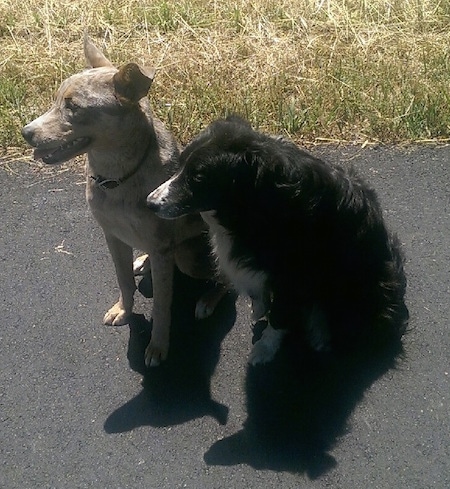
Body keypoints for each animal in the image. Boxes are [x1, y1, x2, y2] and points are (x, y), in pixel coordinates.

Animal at [22, 38, 223, 364]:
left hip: (188, 256)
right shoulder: (113, 237)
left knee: (226, 278)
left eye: (73, 107)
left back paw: (208, 299)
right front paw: (123, 311)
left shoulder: (162, 248)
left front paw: (158, 346)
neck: (116, 179)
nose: (25, 132)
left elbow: (162, 307)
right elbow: (124, 281)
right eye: (56, 100)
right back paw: (143, 262)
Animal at [147, 117, 408, 362]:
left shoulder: (293, 277)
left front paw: (264, 348)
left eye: (198, 177)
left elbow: (279, 315)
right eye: (179, 166)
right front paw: (259, 308)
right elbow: (257, 292)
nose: (150, 203)